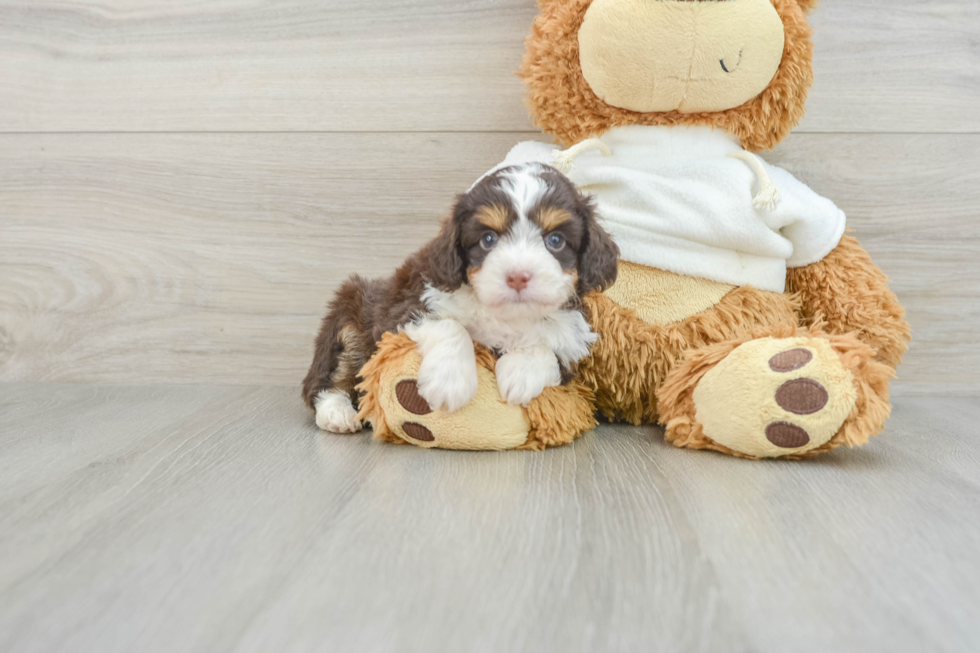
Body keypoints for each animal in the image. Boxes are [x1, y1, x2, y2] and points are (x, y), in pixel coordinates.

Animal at [302, 160, 616, 430]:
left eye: (555, 241)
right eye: (488, 239)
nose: (517, 276)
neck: (505, 315)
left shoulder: (572, 340)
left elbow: (549, 347)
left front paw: (521, 372)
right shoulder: (404, 310)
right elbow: (450, 326)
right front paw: (449, 380)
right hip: (350, 315)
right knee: (331, 375)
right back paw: (338, 412)